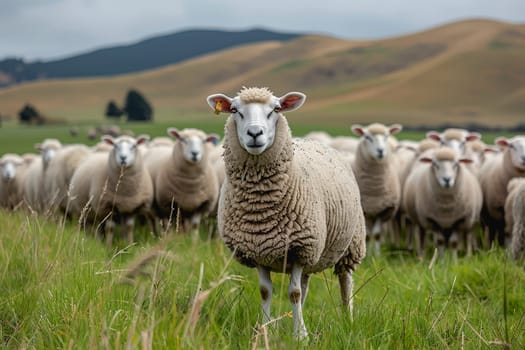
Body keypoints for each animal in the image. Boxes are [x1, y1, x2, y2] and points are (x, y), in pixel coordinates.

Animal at [206, 87, 364, 340]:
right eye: (235, 110)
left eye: (276, 109)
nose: (255, 133)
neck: (261, 210)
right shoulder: (257, 248)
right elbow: (266, 291)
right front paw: (265, 329)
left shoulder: (300, 247)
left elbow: (294, 293)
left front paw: (300, 336)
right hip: (313, 254)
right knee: (307, 285)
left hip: (350, 244)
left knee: (345, 282)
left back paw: (347, 319)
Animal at [350, 122, 404, 254]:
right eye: (367, 137)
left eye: (386, 136)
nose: (380, 151)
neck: (374, 189)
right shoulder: (366, 211)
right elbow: (368, 236)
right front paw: (369, 255)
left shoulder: (383, 210)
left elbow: (377, 234)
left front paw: (377, 254)